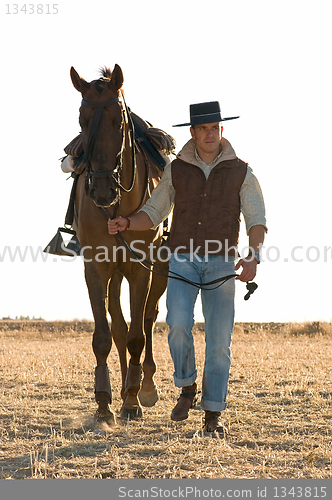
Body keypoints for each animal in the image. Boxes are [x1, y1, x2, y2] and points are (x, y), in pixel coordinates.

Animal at [70, 62, 169, 422]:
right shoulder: (96, 268)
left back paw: (143, 387)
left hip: (159, 269)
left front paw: (132, 400)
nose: (101, 189)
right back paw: (127, 384)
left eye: (119, 120)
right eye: (82, 119)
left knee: (148, 318)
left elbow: (138, 335)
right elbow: (104, 336)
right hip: (115, 273)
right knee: (119, 326)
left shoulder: (141, 269)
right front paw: (104, 402)